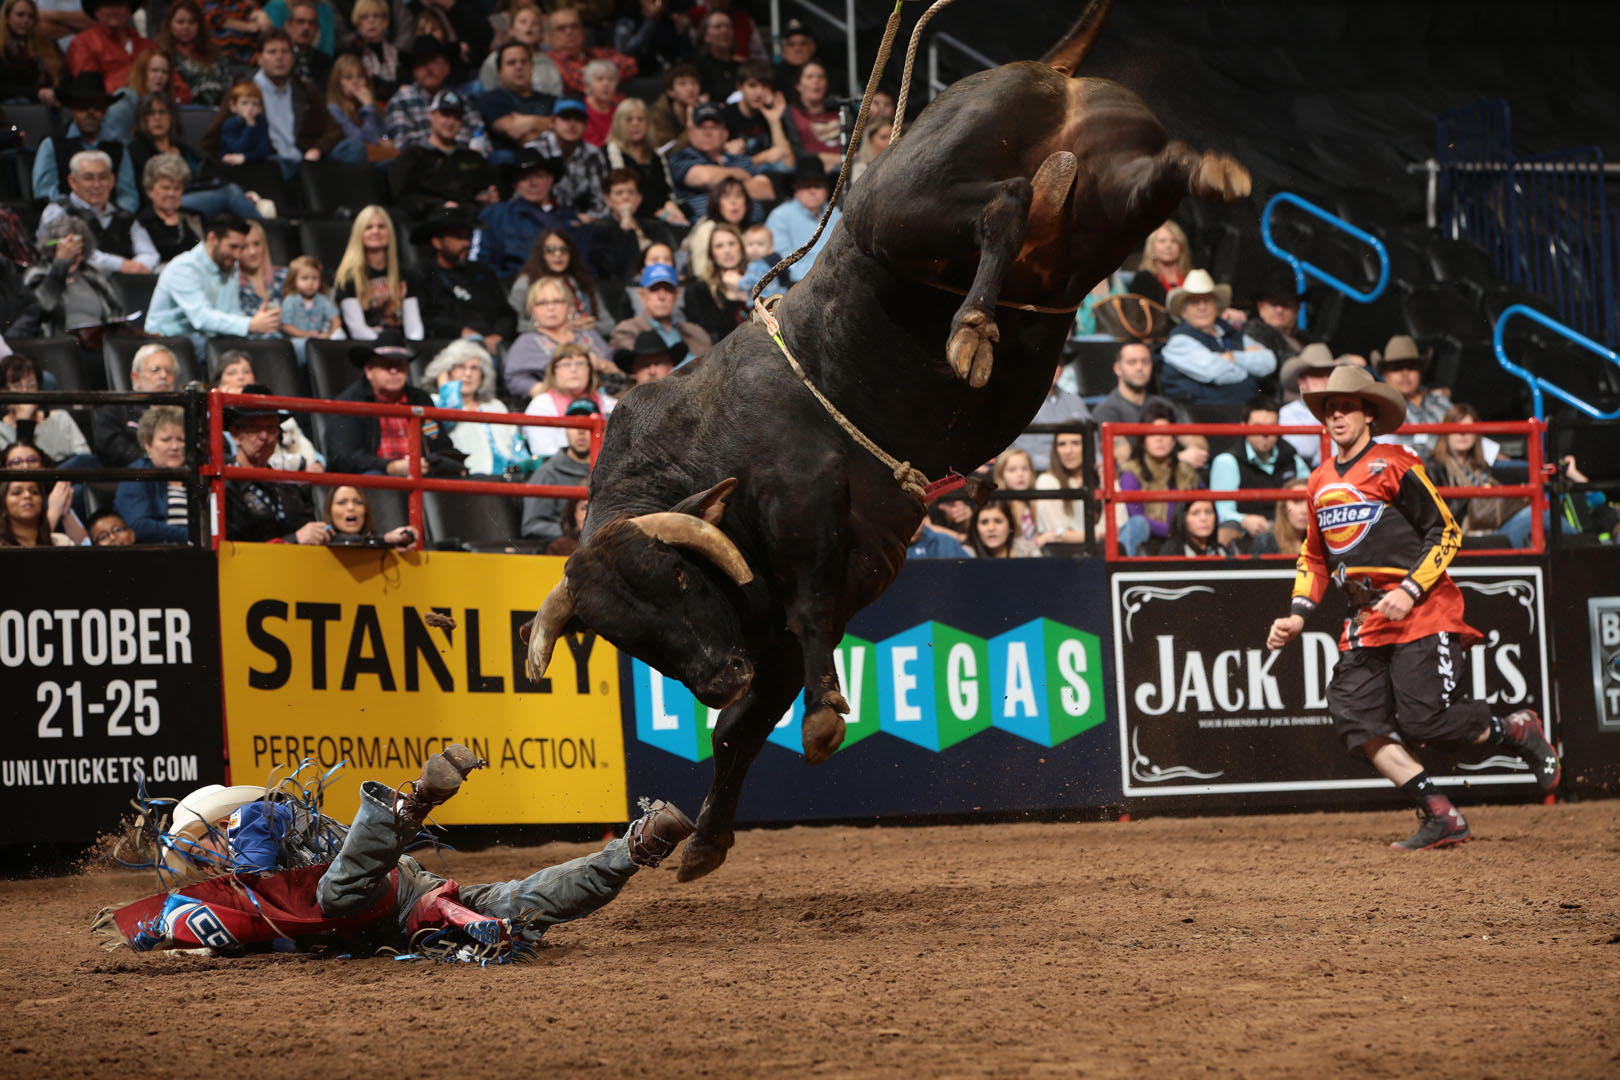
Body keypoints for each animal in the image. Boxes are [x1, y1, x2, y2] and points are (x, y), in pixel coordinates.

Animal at [522, 0, 1249, 881]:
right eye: (632, 638)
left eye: (681, 578)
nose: (718, 676)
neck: (700, 449)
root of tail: (1045, 68)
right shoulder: (768, 638)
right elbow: (739, 730)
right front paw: (707, 838)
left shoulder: (803, 504)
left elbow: (806, 620)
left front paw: (824, 716)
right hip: (1096, 210)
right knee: (1128, 185)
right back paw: (1199, 175)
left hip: (901, 210)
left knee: (1004, 201)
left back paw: (972, 329)